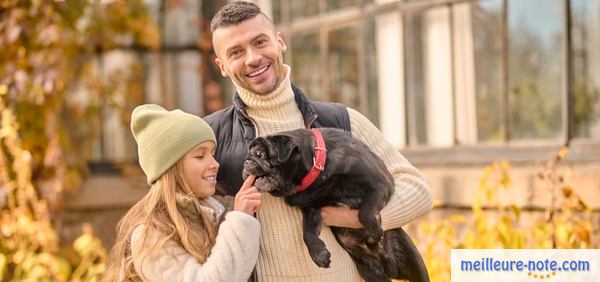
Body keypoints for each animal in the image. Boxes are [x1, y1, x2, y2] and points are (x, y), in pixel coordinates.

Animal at [241, 128, 428, 282]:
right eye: (248, 155)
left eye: (259, 154)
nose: (246, 162)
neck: (317, 167)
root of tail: (388, 265)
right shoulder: (312, 210)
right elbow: (308, 233)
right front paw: (319, 255)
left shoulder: (379, 185)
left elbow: (365, 213)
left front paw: (375, 230)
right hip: (368, 270)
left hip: (414, 261)